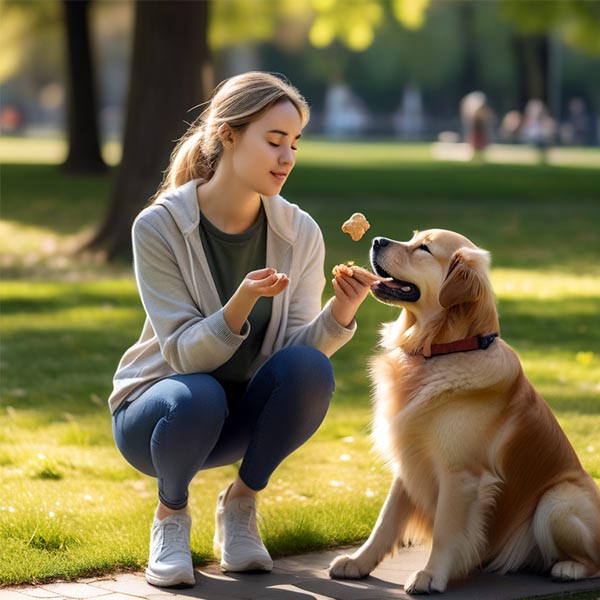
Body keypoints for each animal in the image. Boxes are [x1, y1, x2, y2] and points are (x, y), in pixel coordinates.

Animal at [328, 229, 600, 592]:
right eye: (413, 237)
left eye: (424, 248)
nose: (377, 240)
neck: (442, 350)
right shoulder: (410, 459)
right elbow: (385, 521)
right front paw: (358, 563)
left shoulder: (462, 475)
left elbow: (446, 531)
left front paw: (431, 576)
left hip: (557, 500)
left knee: (591, 559)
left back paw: (567, 568)